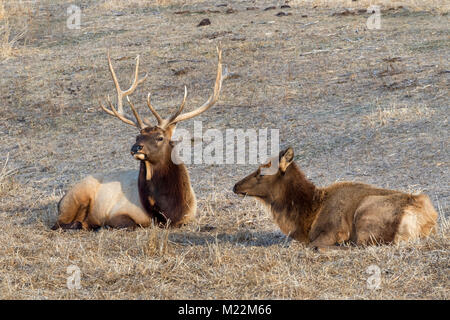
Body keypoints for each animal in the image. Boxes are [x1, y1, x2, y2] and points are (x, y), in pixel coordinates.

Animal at [51, 45, 229, 230]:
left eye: (160, 137)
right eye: (137, 136)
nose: (136, 147)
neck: (169, 211)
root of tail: (60, 201)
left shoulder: (189, 216)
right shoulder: (119, 213)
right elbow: (128, 223)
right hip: (76, 198)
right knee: (59, 223)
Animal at [234, 148, 438, 250]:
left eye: (261, 172)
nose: (235, 186)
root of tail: (424, 221)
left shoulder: (334, 229)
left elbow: (306, 244)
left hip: (365, 213)